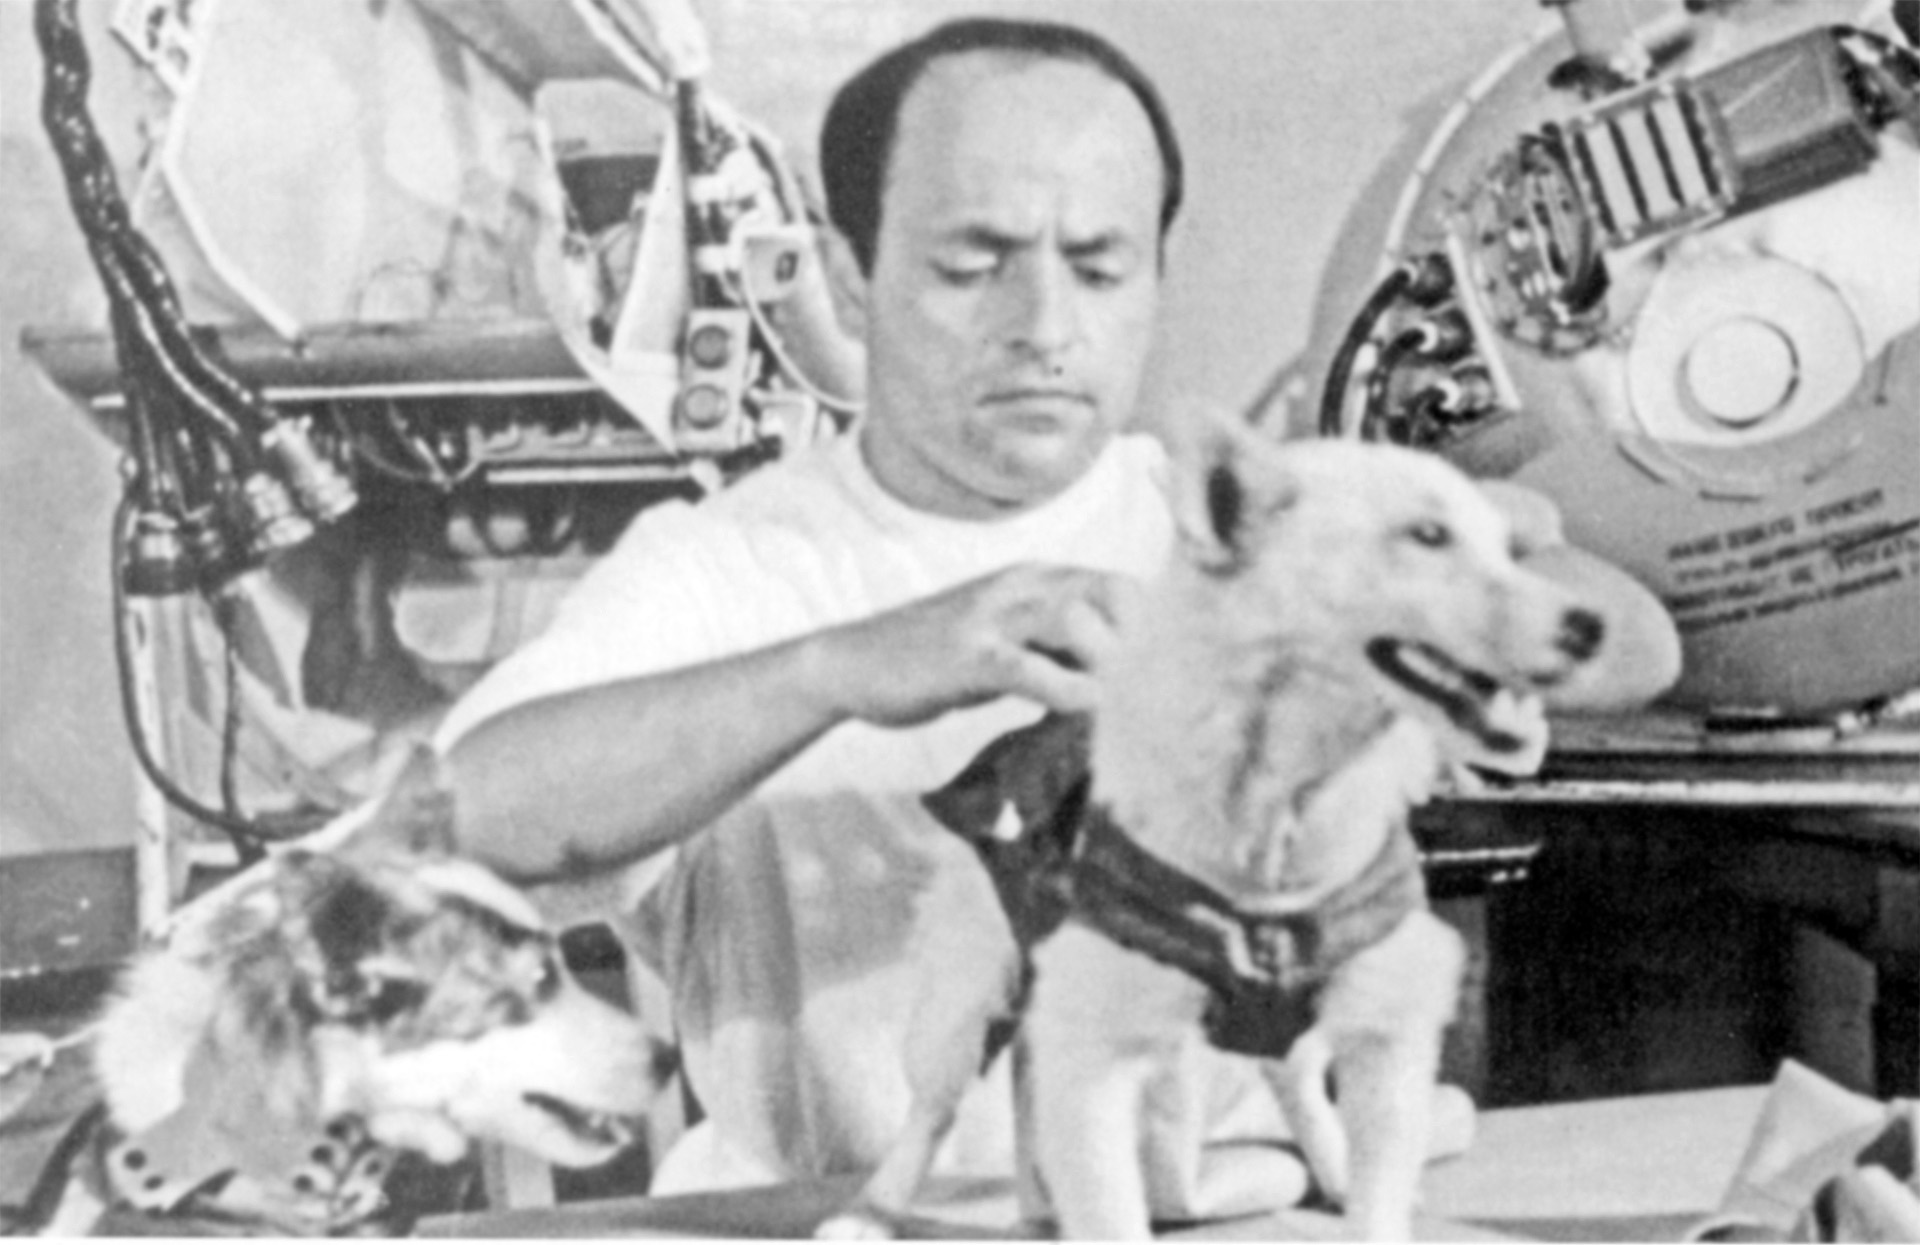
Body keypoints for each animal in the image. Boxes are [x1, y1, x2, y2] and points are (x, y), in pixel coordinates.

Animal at [818, 420, 1615, 1240]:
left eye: (1509, 549)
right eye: (1428, 535)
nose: (1591, 626)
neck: (1285, 809)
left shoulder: (1387, 1032)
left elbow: (1378, 1194)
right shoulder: (1094, 1054)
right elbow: (1104, 1201)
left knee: (1288, 1080)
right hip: (964, 995)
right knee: (935, 1110)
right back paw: (872, 1213)